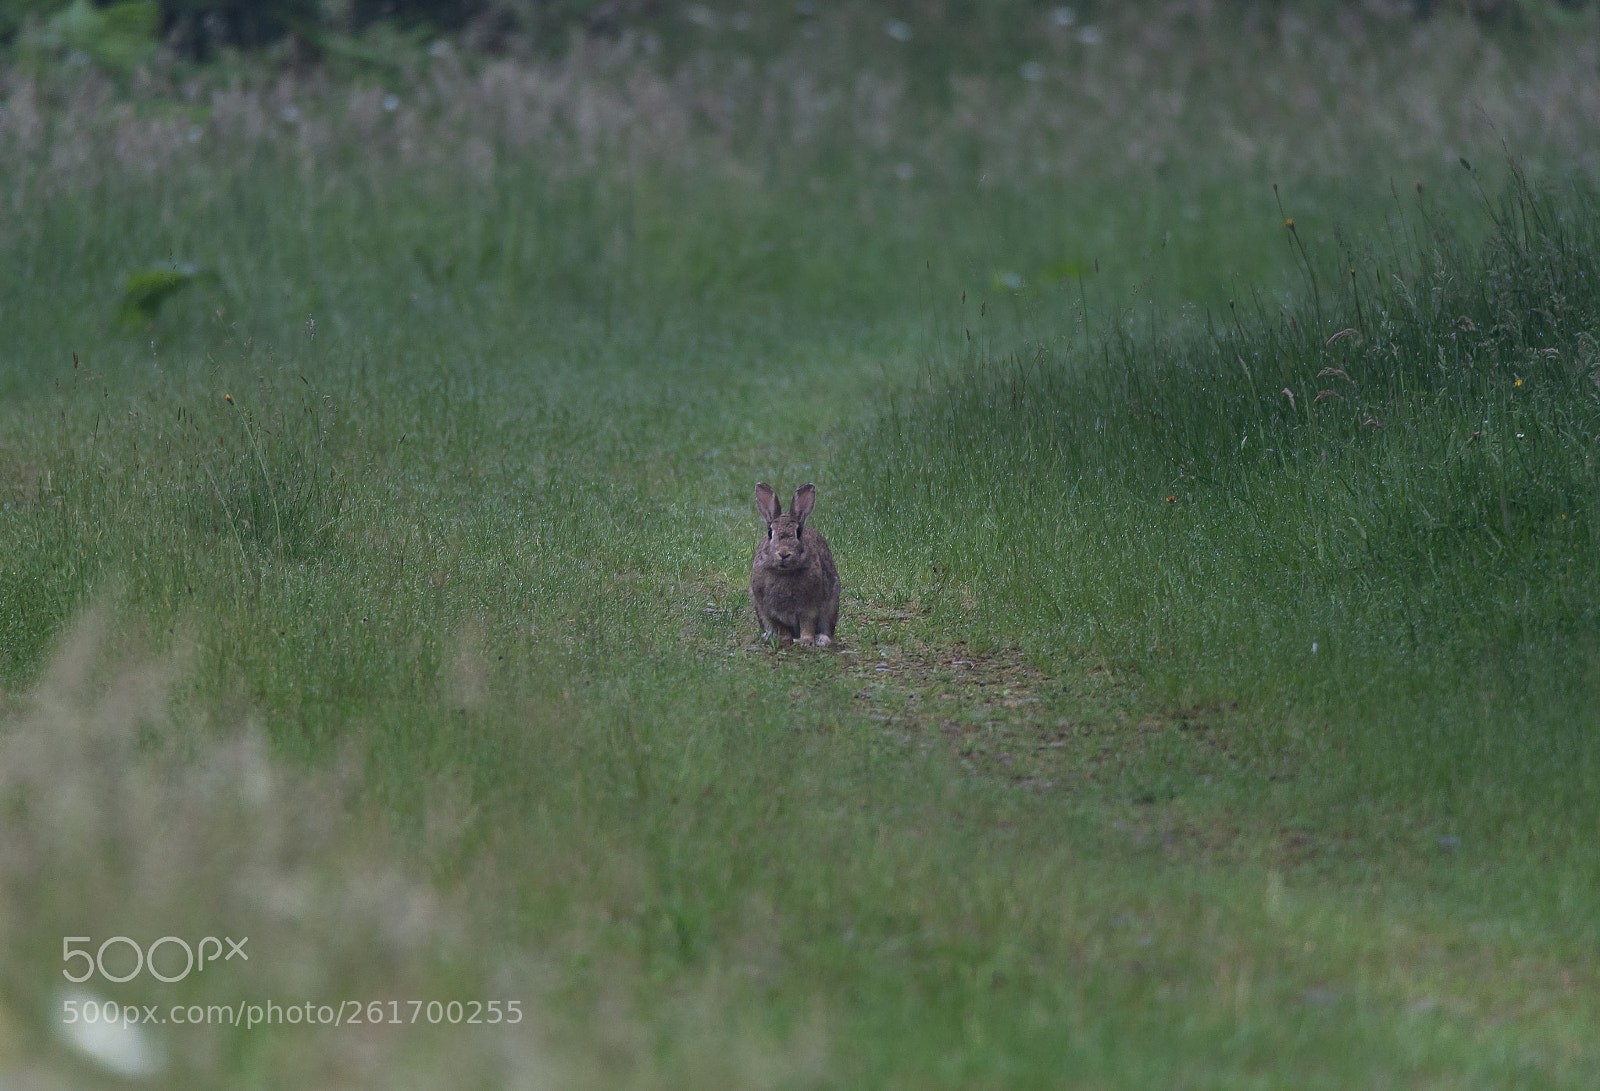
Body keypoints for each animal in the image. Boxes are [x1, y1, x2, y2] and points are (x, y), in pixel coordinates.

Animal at [749, 482, 841, 647]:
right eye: (770, 532)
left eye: (798, 532)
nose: (784, 553)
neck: (784, 572)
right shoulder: (770, 609)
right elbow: (781, 626)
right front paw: (785, 640)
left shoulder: (809, 607)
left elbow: (807, 624)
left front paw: (806, 642)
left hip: (832, 604)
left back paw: (822, 640)